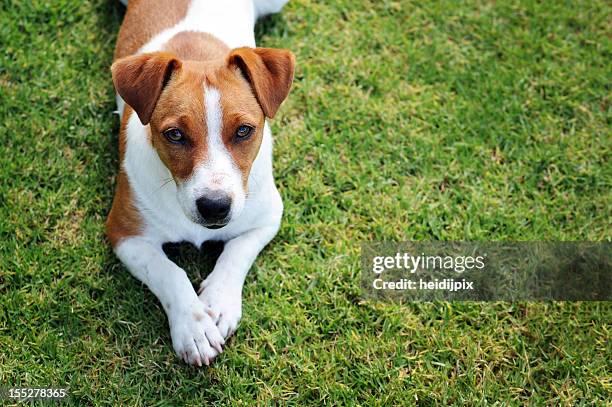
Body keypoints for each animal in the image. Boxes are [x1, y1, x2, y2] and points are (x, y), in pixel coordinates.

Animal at [106, 0, 296, 368]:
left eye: (243, 131)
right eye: (175, 135)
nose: (215, 207)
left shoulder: (267, 218)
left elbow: (236, 253)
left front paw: (219, 303)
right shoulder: (125, 235)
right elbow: (168, 272)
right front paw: (193, 326)